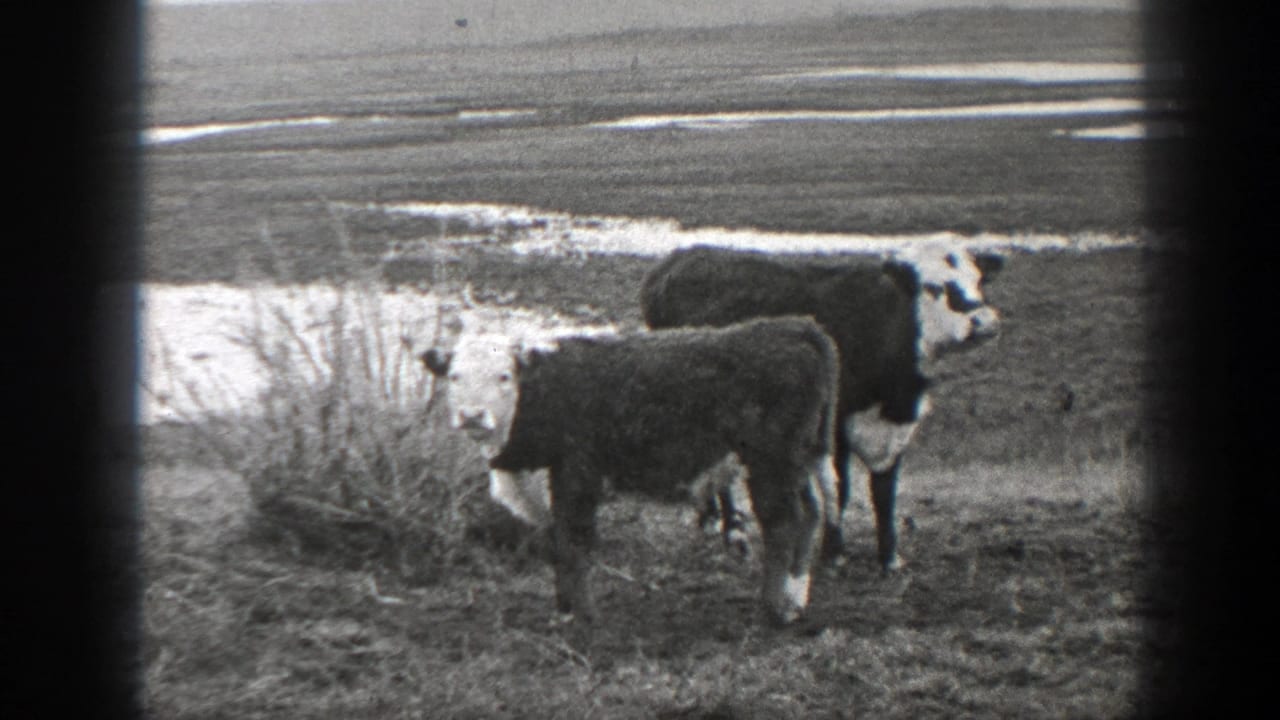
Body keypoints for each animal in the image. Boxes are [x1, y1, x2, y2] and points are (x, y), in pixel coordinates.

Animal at [421, 316, 842, 625]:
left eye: (504, 376)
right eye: (455, 377)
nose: (472, 415)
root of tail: (793, 326)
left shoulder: (578, 474)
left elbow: (574, 543)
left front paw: (584, 616)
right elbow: (555, 542)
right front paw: (564, 608)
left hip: (772, 460)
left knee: (782, 524)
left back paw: (773, 609)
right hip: (799, 458)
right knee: (811, 512)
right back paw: (794, 600)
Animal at [640, 244, 1004, 574]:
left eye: (978, 280)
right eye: (933, 287)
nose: (984, 321)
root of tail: (682, 256)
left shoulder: (894, 432)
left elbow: (885, 493)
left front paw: (889, 558)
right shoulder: (835, 426)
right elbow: (838, 489)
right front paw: (834, 554)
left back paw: (718, 521)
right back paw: (731, 529)